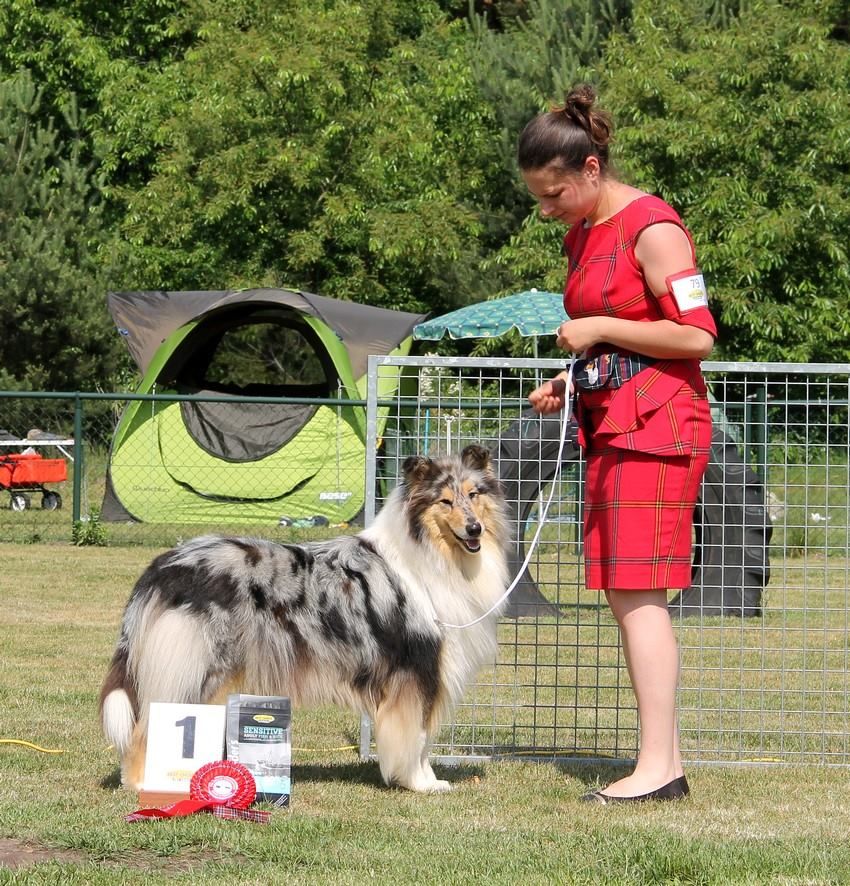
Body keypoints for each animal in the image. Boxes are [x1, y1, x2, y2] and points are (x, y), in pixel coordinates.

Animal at [102, 448, 506, 796]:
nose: (474, 529)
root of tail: (164, 565)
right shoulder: (416, 670)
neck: (433, 554)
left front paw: (427, 780)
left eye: (474, 494)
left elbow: (424, 738)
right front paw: (421, 783)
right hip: (199, 668)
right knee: (147, 727)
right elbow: (418, 736)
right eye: (445, 501)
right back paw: (142, 782)